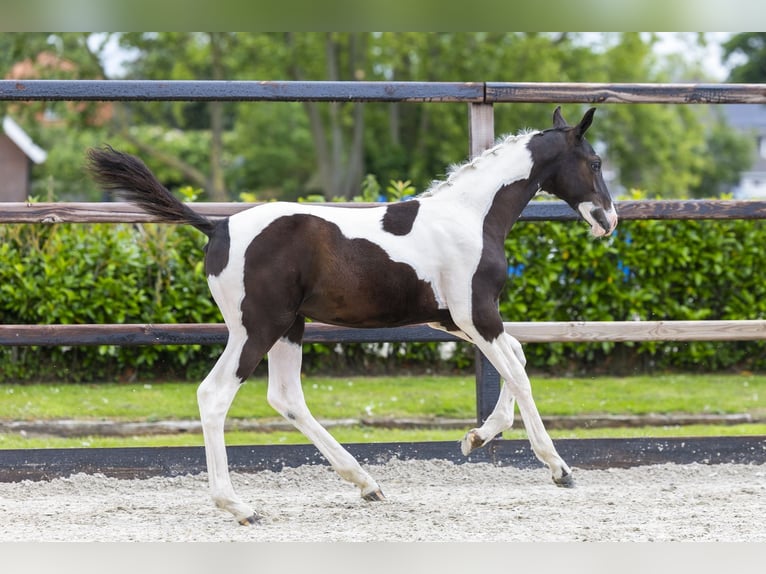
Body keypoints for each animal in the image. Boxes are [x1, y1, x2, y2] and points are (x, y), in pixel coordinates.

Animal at [87, 106, 618, 525]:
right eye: (594, 162)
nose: (609, 220)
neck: (470, 215)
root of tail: (217, 227)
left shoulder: (455, 319)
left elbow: (517, 359)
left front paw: (476, 438)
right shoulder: (478, 313)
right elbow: (519, 374)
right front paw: (558, 468)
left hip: (289, 327)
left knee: (286, 397)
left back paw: (366, 483)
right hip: (257, 328)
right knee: (214, 395)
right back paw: (241, 507)